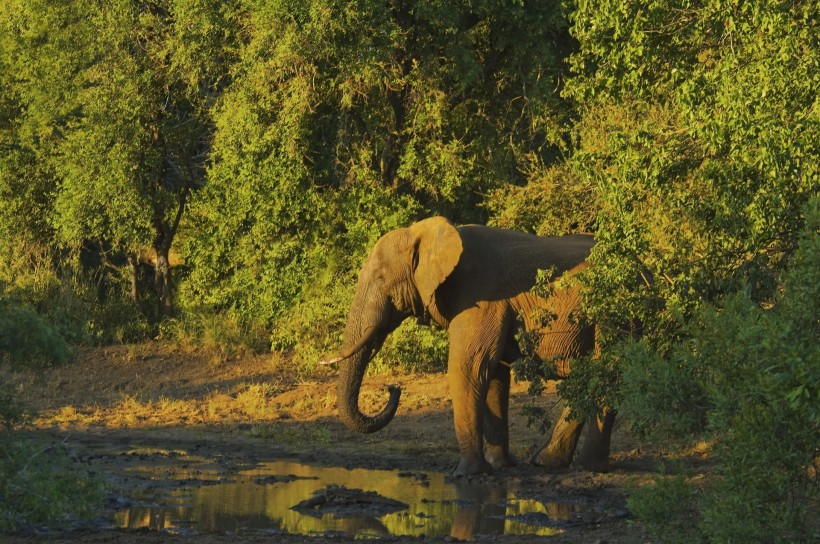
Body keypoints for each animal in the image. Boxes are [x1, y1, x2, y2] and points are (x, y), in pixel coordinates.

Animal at [322, 217, 616, 476]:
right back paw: (547, 462)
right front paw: (499, 466)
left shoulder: (481, 295)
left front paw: (467, 474)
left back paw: (589, 466)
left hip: (612, 315)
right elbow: (494, 375)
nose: (393, 388)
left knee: (606, 373)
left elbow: (469, 367)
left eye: (382, 278)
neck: (426, 234)